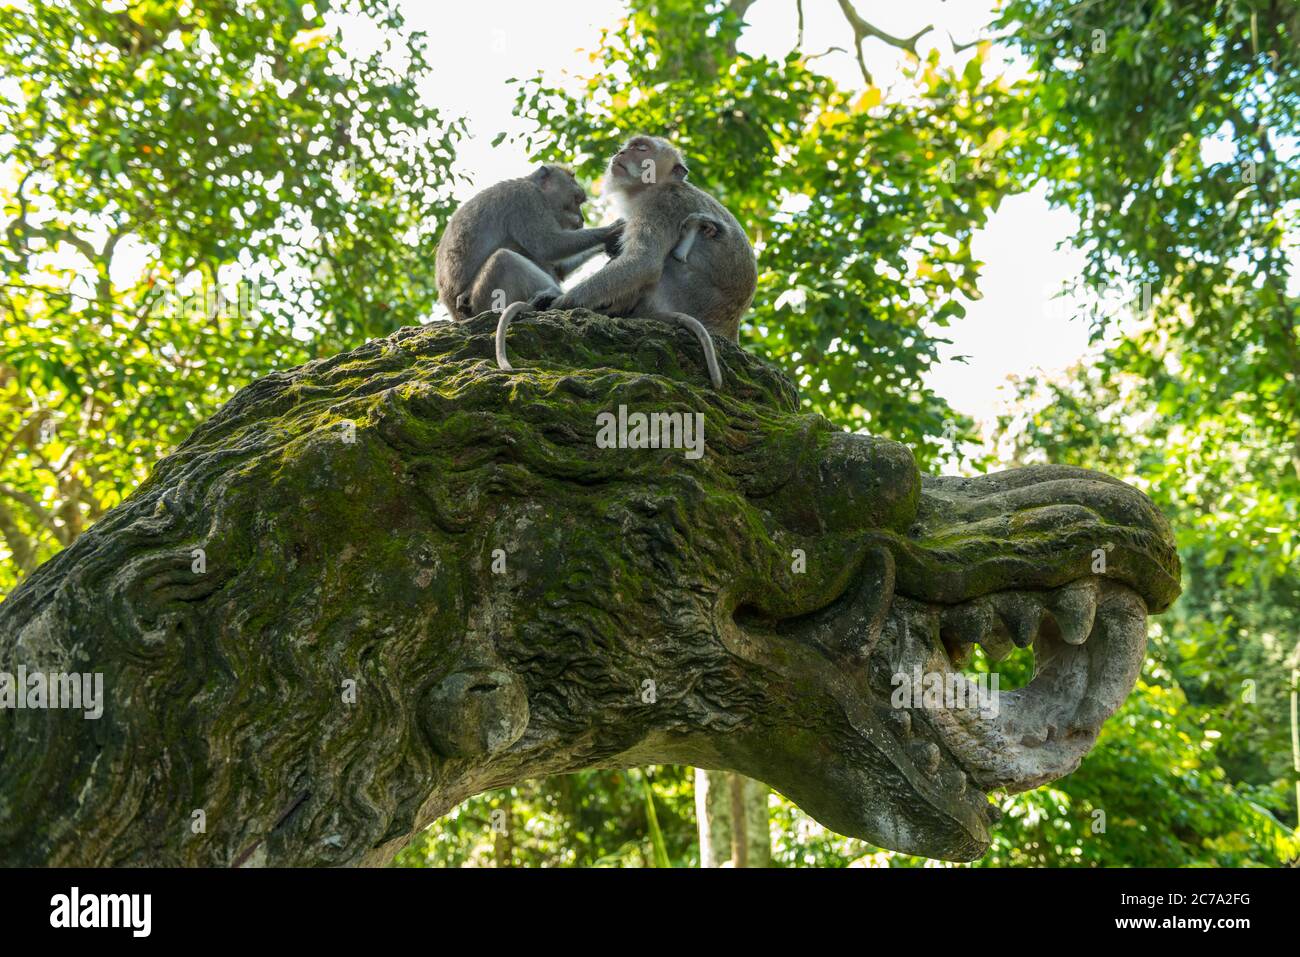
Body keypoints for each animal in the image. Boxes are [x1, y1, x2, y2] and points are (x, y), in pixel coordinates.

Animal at [434, 166, 621, 323]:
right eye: (576, 200)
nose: (582, 219)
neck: (535, 187)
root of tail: (457, 316)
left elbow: (558, 268)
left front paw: (610, 241)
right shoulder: (526, 198)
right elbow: (547, 245)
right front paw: (612, 228)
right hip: (484, 300)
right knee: (504, 259)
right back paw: (554, 294)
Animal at [491, 135, 759, 390]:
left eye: (641, 148)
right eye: (629, 146)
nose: (621, 153)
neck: (657, 185)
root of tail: (729, 331)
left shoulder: (661, 204)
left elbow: (642, 262)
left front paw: (562, 302)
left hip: (688, 294)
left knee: (689, 238)